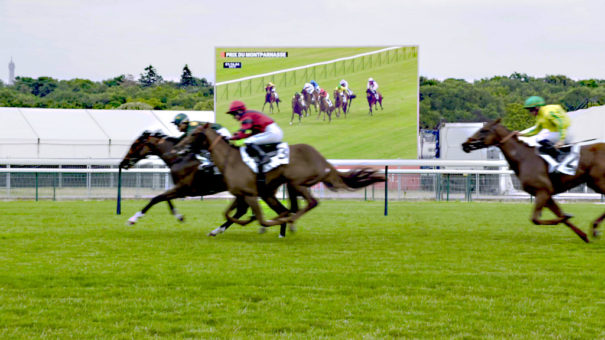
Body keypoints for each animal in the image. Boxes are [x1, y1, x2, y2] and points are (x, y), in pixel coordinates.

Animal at [119, 131, 294, 238]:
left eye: (135, 145)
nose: (123, 163)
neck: (180, 158)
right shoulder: (180, 188)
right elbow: (164, 199)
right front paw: (179, 216)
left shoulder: (184, 189)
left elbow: (156, 198)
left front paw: (133, 219)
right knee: (246, 210)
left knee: (275, 210)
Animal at [172, 123, 384, 230]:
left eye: (195, 133)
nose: (178, 147)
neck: (229, 159)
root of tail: (323, 161)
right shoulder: (241, 194)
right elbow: (228, 213)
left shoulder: (250, 194)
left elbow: (262, 219)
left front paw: (272, 221)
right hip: (284, 187)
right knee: (297, 206)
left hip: (297, 183)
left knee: (311, 203)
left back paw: (288, 221)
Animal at [460, 119, 605, 242]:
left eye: (484, 130)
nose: (465, 144)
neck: (523, 158)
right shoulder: (546, 194)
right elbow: (560, 216)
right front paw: (583, 235)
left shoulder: (543, 192)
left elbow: (535, 219)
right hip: (593, 182)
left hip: (598, 182)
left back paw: (595, 227)